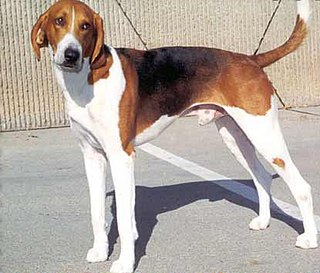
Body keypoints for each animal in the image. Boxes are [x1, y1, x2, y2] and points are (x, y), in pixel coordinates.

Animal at [30, 0, 318, 270]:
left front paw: (125, 263)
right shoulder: (92, 157)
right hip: (236, 136)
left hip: (264, 135)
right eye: (59, 21)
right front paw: (101, 252)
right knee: (262, 177)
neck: (88, 79)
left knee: (301, 187)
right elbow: (97, 212)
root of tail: (249, 59)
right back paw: (264, 221)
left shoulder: (121, 156)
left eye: (86, 26)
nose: (71, 54)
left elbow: (123, 219)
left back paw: (309, 238)